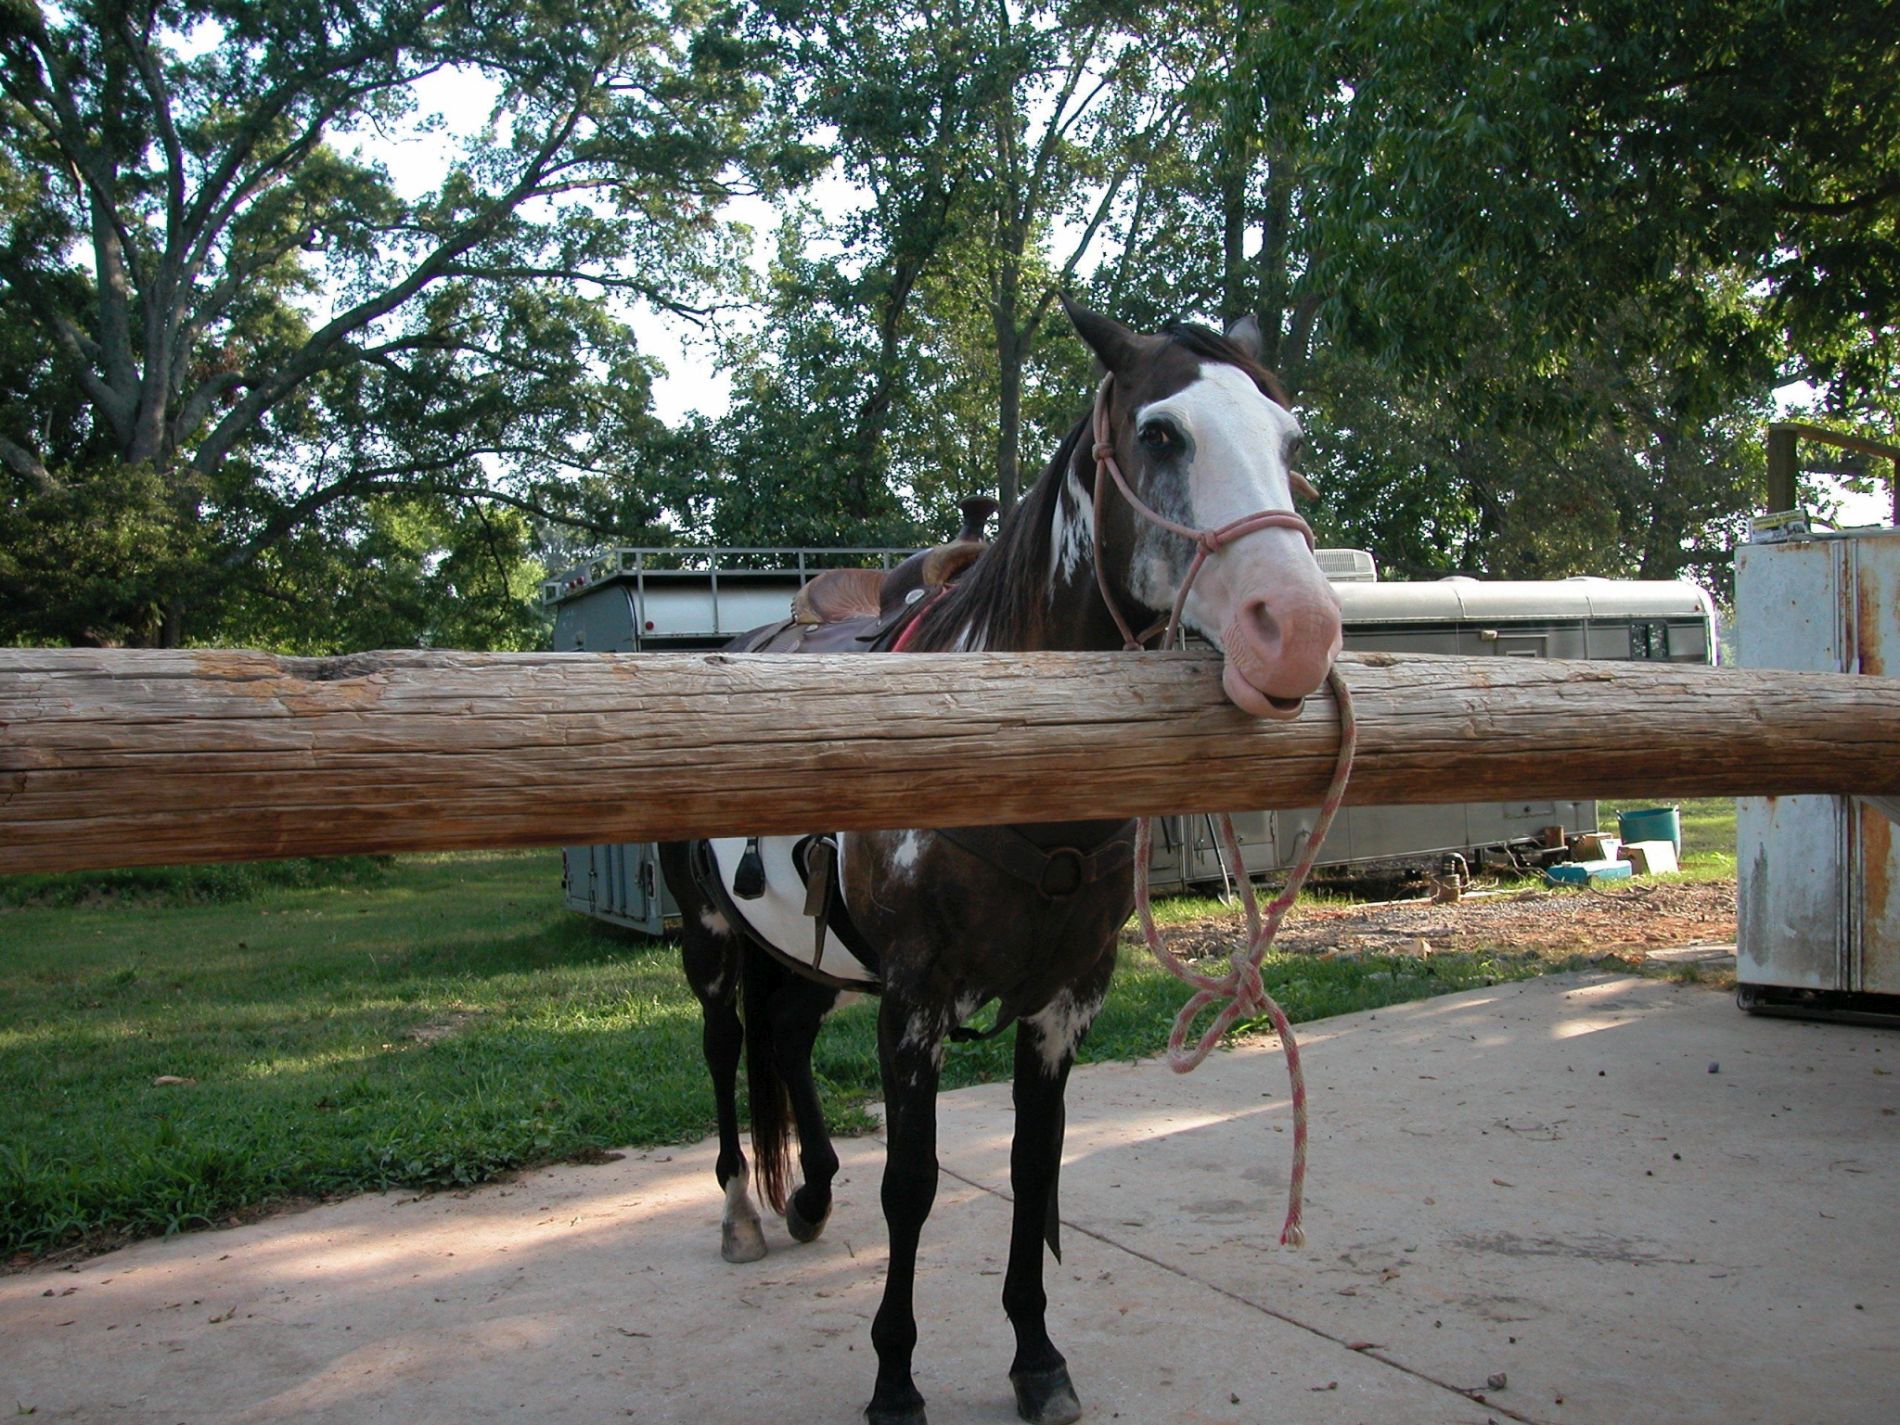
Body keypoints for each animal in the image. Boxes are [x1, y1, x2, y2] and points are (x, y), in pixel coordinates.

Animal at [658, 299, 1344, 1425]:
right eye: (1161, 434)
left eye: (1289, 445)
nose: (1296, 631)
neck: (1010, 743)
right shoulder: (915, 998)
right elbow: (914, 1185)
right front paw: (895, 1378)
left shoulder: (1066, 996)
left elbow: (1034, 1171)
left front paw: (1035, 1356)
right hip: (711, 941)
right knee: (725, 1049)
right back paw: (742, 1215)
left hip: (810, 954)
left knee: (788, 1039)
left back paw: (808, 1193)